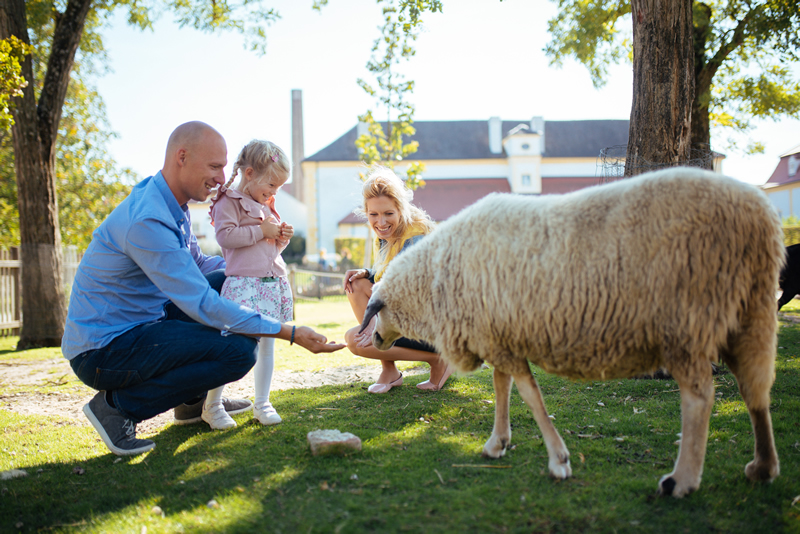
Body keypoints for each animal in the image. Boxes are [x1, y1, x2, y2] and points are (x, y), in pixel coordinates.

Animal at [360, 166, 780, 498]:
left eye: (375, 312)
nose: (373, 339)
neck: (432, 278)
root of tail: (757, 210)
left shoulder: (499, 338)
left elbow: (530, 396)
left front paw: (558, 459)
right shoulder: (497, 335)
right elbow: (503, 388)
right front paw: (498, 443)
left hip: (688, 319)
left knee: (700, 398)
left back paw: (681, 480)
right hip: (752, 311)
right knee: (755, 388)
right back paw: (762, 467)